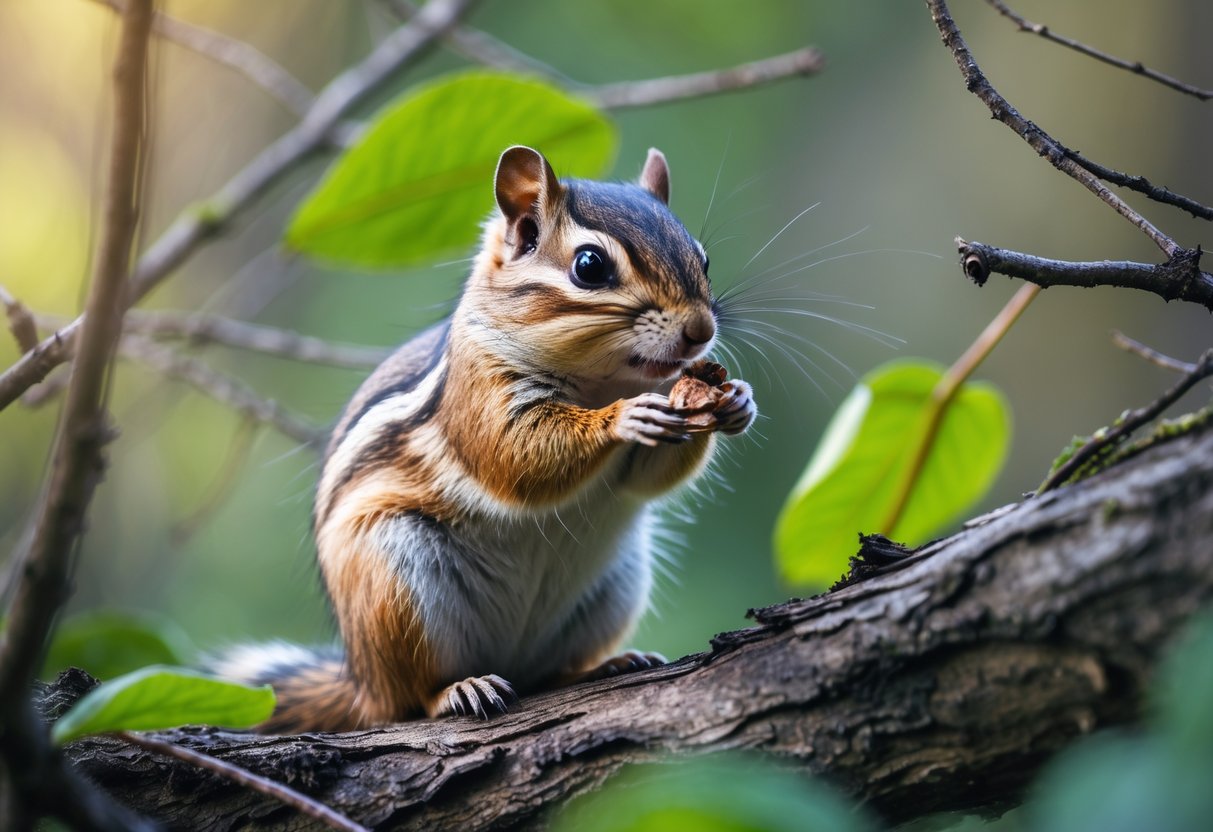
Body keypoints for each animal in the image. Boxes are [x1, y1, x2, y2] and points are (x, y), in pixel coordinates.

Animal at [214, 146, 757, 732]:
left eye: (702, 258)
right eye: (590, 266)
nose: (701, 331)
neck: (602, 380)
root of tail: (362, 682)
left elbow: (647, 478)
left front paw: (737, 400)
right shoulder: (480, 391)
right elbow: (516, 456)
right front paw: (623, 417)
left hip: (615, 586)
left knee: (547, 672)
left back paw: (605, 665)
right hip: (393, 587)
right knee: (410, 699)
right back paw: (458, 689)